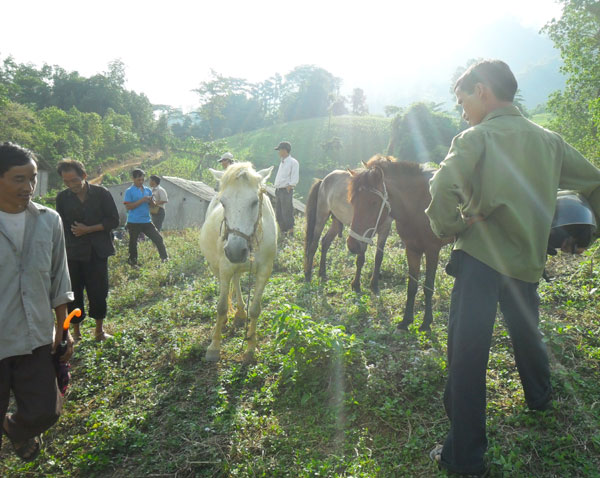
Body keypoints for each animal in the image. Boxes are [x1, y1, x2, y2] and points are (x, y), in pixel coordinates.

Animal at [200, 163, 278, 362]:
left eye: (254, 202)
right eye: (223, 203)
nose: (235, 251)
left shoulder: (265, 271)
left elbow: (255, 309)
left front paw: (250, 347)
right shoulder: (225, 267)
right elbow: (220, 307)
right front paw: (214, 346)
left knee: (236, 281)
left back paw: (241, 313)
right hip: (217, 266)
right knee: (230, 282)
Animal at [346, 155, 450, 330]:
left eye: (373, 202)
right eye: (352, 201)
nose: (352, 245)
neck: (419, 206)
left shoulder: (432, 250)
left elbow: (428, 286)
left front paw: (426, 323)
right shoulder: (412, 249)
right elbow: (412, 286)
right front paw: (406, 320)